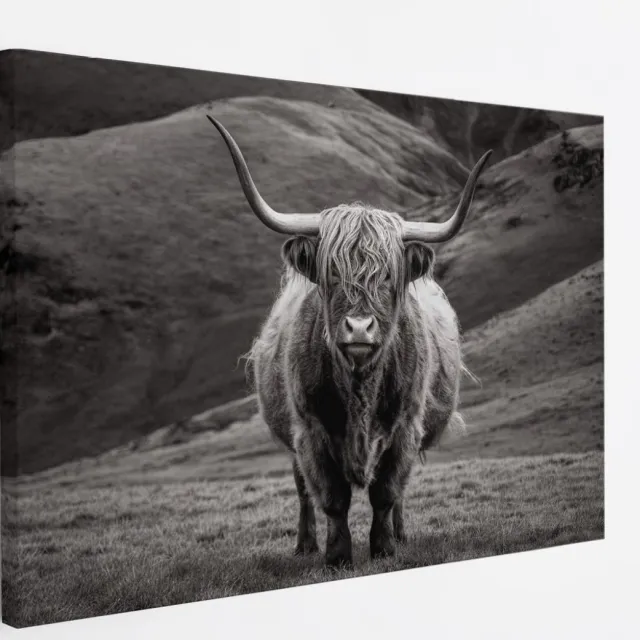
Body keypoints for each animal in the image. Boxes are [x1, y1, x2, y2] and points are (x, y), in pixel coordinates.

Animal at [206, 114, 492, 568]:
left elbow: (386, 492)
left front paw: (385, 549)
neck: (359, 387)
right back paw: (305, 544)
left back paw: (402, 535)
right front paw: (337, 555)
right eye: (332, 272)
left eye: (389, 274)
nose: (359, 328)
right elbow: (332, 498)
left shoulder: (404, 427)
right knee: (302, 489)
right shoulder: (310, 430)